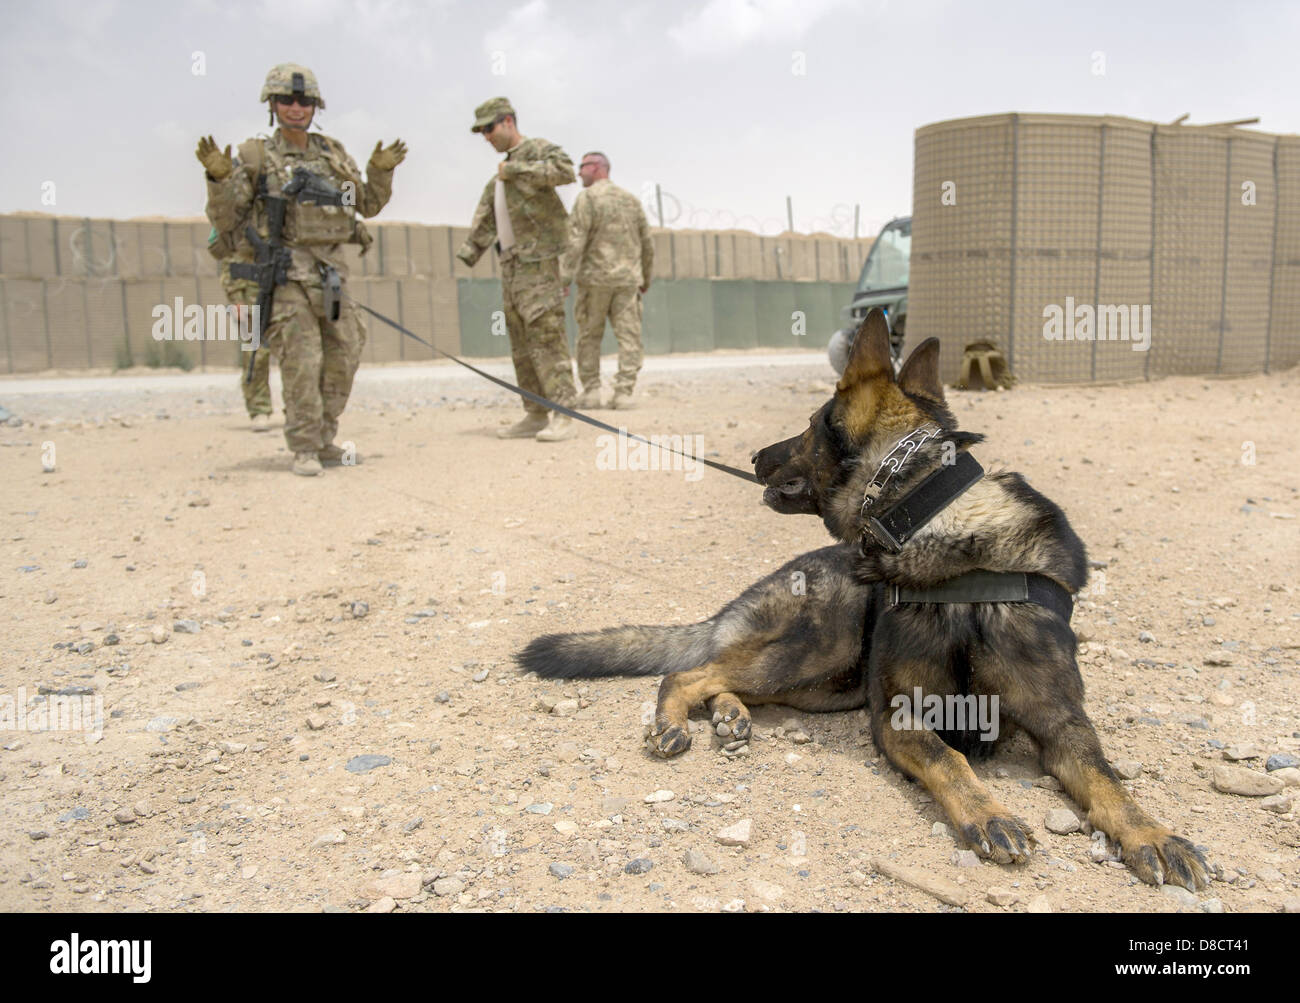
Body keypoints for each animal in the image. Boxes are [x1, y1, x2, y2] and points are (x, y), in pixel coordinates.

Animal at [517, 309, 1206, 888]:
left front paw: (1153, 834)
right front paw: (989, 813)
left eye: (804, 427)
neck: (945, 532)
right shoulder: (902, 716)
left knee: (722, 676)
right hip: (829, 642)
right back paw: (672, 721)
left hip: (827, 679)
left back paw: (731, 716)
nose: (754, 456)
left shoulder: (1064, 723)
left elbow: (1108, 781)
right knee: (691, 671)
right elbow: (950, 760)